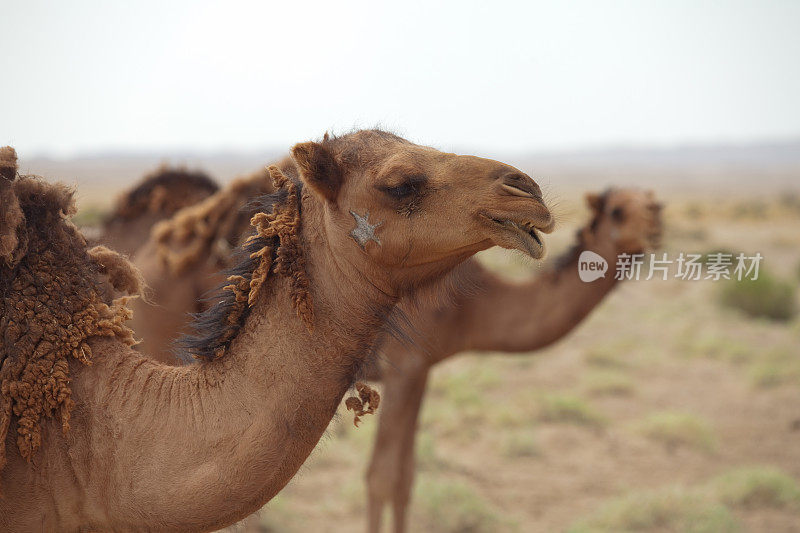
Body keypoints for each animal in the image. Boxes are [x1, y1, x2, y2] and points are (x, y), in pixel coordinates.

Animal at [364, 187, 664, 532]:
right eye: (617, 211)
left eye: (653, 202)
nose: (657, 220)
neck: (468, 308)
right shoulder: (403, 364)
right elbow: (382, 477)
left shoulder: (421, 368)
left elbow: (404, 477)